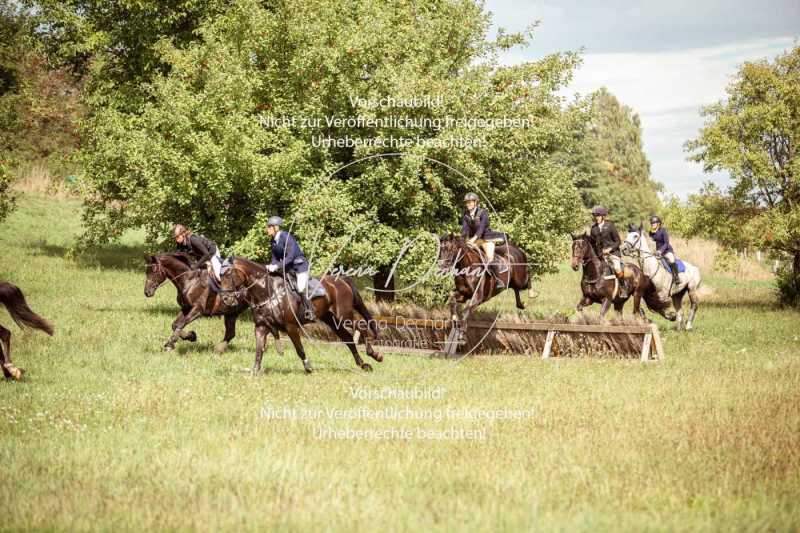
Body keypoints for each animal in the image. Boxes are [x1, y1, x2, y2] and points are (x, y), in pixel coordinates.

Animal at [145, 254, 278, 354]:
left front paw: (171, 343)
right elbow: (175, 325)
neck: (189, 280)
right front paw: (190, 336)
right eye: (147, 271)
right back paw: (219, 349)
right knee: (230, 333)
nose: (147, 292)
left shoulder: (197, 310)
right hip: (231, 312)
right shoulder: (186, 308)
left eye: (154, 270)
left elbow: (181, 324)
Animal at [217, 258, 382, 374]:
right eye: (220, 276)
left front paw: (308, 367)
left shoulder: (291, 327)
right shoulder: (261, 327)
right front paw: (254, 370)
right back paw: (363, 364)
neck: (267, 292)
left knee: (361, 326)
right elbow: (259, 351)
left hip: (343, 315)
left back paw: (374, 354)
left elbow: (299, 349)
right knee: (348, 338)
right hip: (331, 319)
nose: (225, 299)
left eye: (229, 274)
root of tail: (341, 280)